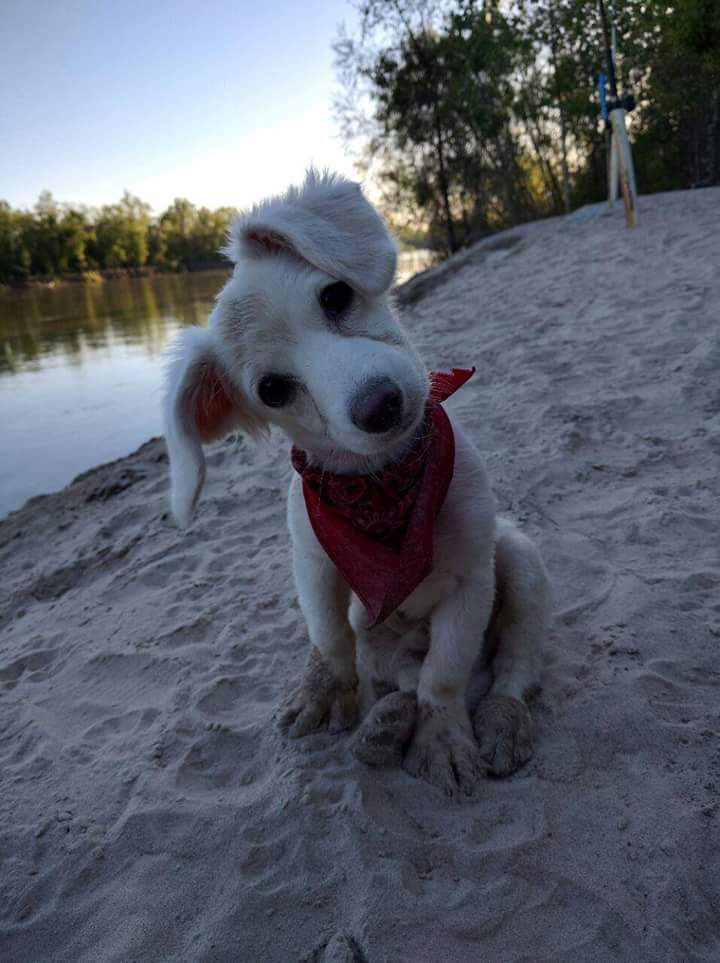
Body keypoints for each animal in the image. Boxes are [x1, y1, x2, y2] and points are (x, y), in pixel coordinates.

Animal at [165, 169, 552, 796]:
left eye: (335, 296)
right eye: (272, 389)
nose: (380, 404)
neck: (384, 484)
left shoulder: (471, 581)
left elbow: (446, 675)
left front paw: (442, 738)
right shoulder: (315, 568)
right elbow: (329, 641)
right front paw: (329, 693)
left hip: (519, 558)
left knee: (513, 664)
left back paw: (501, 719)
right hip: (378, 632)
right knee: (393, 675)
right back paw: (382, 725)